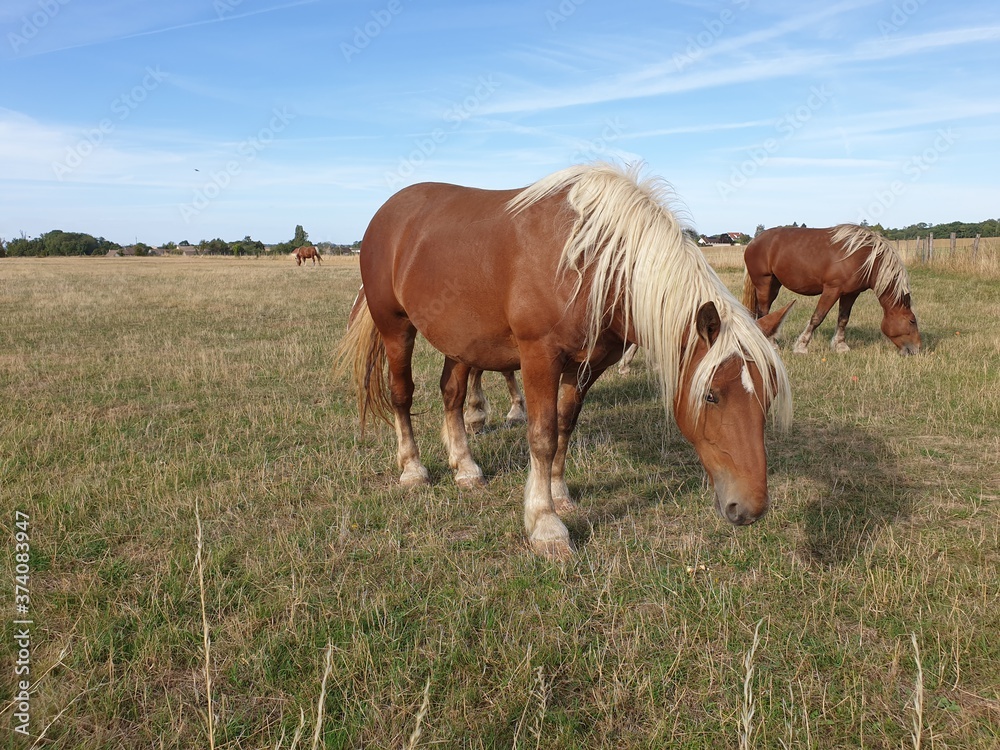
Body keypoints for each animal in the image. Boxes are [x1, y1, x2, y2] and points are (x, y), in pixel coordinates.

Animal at [743, 225, 920, 355]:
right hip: (764, 283)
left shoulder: (850, 293)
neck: (866, 258)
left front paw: (840, 346)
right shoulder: (832, 290)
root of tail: (753, 242)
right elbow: (817, 317)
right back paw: (772, 344)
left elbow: (843, 319)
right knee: (764, 311)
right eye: (912, 321)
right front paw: (801, 346)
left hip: (774, 285)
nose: (917, 349)